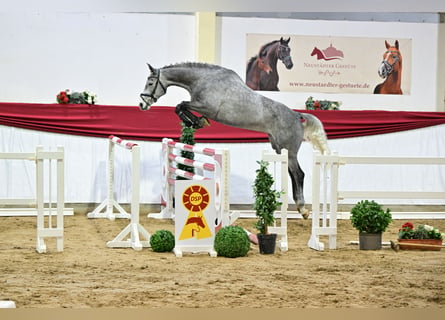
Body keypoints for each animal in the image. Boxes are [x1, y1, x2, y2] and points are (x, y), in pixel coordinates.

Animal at [139, 62, 330, 218]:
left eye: (150, 83)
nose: (142, 104)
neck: (203, 79)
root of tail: (297, 116)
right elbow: (180, 107)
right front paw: (195, 122)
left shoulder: (207, 107)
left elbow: (181, 105)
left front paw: (196, 122)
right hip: (279, 148)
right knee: (292, 174)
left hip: (289, 151)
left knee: (298, 174)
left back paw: (303, 210)